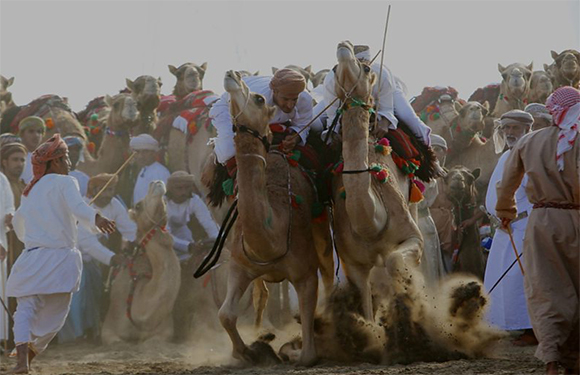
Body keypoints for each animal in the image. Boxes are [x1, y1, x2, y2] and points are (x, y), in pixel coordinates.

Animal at [101, 181, 180, 346]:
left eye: (165, 202)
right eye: (138, 205)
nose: (156, 183)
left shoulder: (166, 331)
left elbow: (152, 342)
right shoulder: (109, 328)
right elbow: (117, 342)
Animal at [218, 70, 320, 368]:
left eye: (259, 99)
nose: (231, 74)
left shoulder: (307, 274)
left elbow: (308, 353)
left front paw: (290, 347)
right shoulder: (239, 265)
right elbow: (225, 314)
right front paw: (250, 350)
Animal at [330, 41, 422, 324]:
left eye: (368, 68)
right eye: (334, 69)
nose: (344, 45)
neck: (372, 224)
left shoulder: (412, 236)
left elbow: (395, 262)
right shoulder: (353, 264)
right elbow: (365, 304)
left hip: (414, 202)